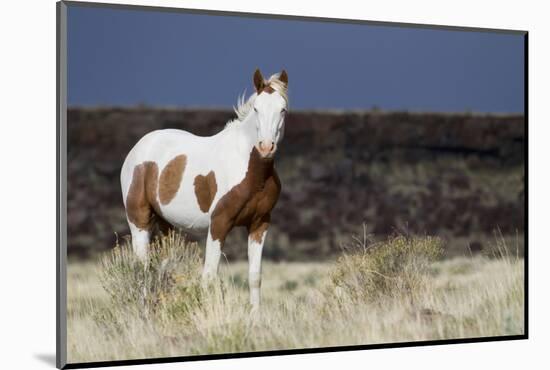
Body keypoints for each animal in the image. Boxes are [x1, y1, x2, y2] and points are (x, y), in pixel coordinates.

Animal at [120, 69, 288, 310]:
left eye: (282, 109)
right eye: (256, 108)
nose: (266, 147)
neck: (253, 173)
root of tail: (139, 148)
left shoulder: (260, 224)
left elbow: (255, 277)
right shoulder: (219, 223)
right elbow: (209, 276)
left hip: (166, 226)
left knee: (161, 269)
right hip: (139, 222)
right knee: (142, 270)